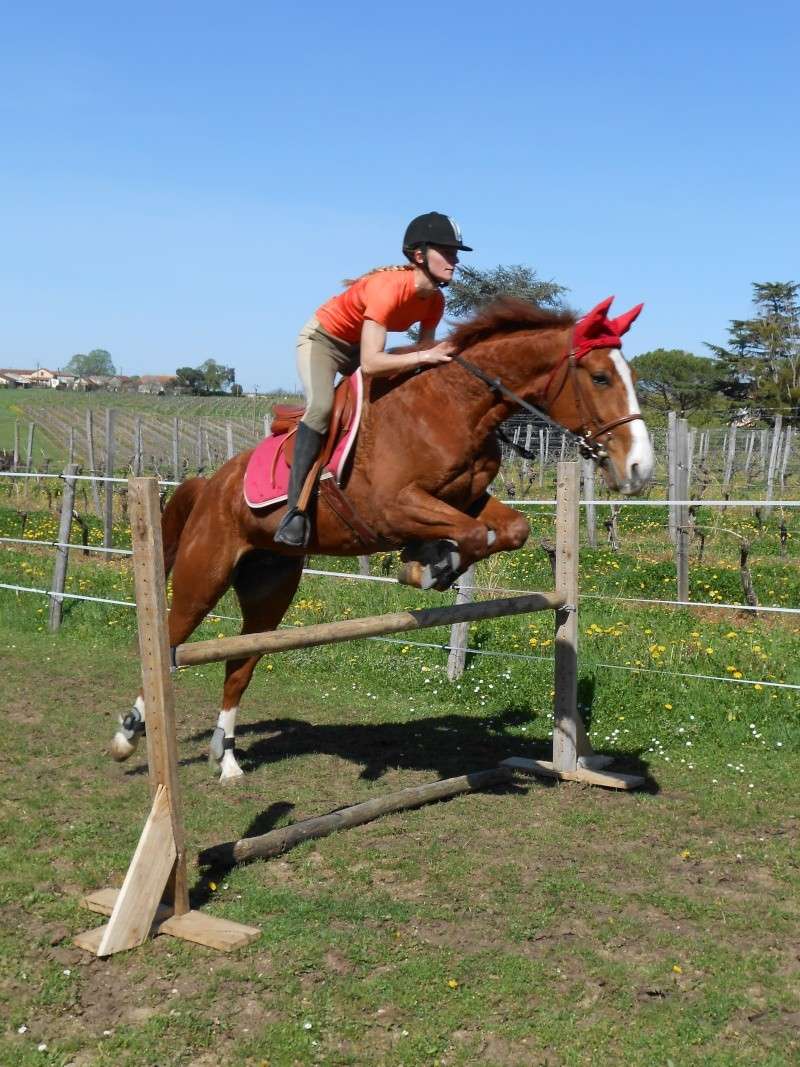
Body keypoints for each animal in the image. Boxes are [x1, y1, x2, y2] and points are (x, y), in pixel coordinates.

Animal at [111, 296, 652, 781]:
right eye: (600, 377)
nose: (640, 470)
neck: (455, 406)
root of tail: (211, 484)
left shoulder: (469, 498)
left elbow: (508, 529)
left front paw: (432, 562)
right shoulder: (392, 507)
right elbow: (471, 534)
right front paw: (426, 567)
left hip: (271, 588)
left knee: (241, 662)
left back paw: (227, 760)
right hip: (204, 574)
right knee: (171, 638)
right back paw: (129, 733)